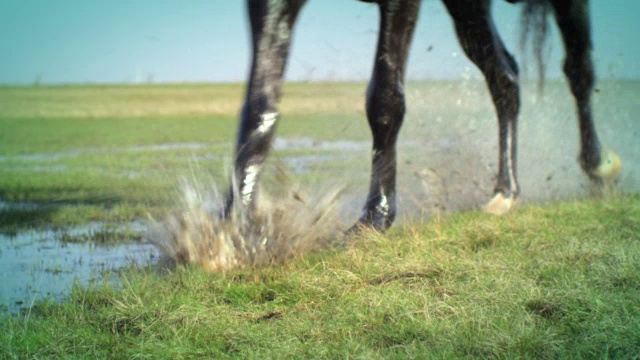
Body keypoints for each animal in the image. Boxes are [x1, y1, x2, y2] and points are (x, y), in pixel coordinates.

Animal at [224, 0, 620, 231]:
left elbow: (384, 98)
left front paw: (375, 217)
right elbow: (259, 104)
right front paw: (232, 230)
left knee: (578, 69)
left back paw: (596, 165)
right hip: (468, 6)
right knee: (505, 78)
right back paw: (505, 192)